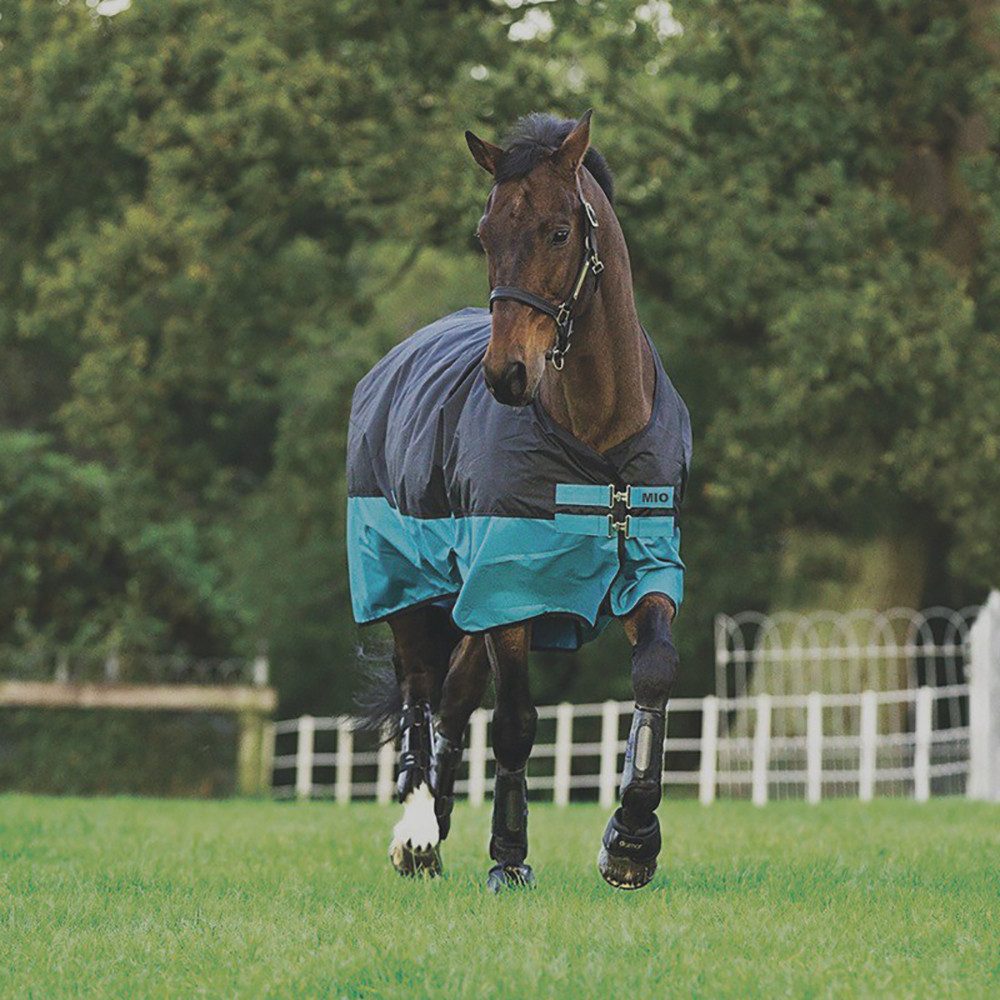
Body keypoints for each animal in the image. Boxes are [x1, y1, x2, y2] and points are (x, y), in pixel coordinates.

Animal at [347, 110, 690, 891]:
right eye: (485, 234)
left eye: (559, 232)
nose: (506, 373)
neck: (596, 437)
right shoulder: (510, 588)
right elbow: (515, 722)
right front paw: (509, 857)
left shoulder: (647, 565)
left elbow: (654, 673)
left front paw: (631, 840)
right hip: (410, 585)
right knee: (421, 694)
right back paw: (418, 831)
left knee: (452, 699)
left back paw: (438, 822)